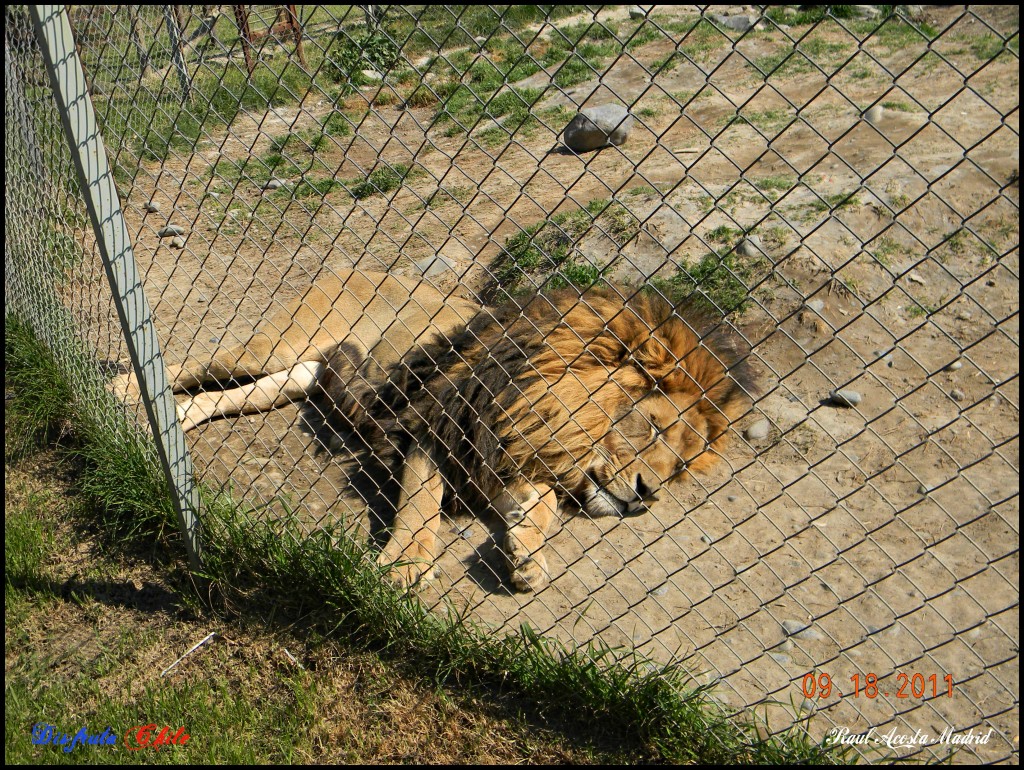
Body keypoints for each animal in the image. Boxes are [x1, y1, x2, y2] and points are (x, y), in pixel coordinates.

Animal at [327, 286, 753, 593]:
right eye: (654, 425)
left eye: (680, 466)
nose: (647, 495)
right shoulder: (434, 427)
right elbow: (420, 502)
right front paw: (406, 562)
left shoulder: (504, 460)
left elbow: (544, 500)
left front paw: (527, 553)